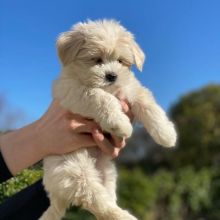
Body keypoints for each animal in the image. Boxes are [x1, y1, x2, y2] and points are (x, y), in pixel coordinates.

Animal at [39, 19, 177, 219]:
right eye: (96, 59)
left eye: (121, 61)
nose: (112, 75)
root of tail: (55, 196)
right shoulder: (70, 90)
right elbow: (99, 97)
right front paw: (120, 124)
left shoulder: (132, 89)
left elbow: (150, 107)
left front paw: (167, 135)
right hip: (75, 173)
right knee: (99, 204)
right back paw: (126, 216)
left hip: (107, 174)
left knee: (106, 200)